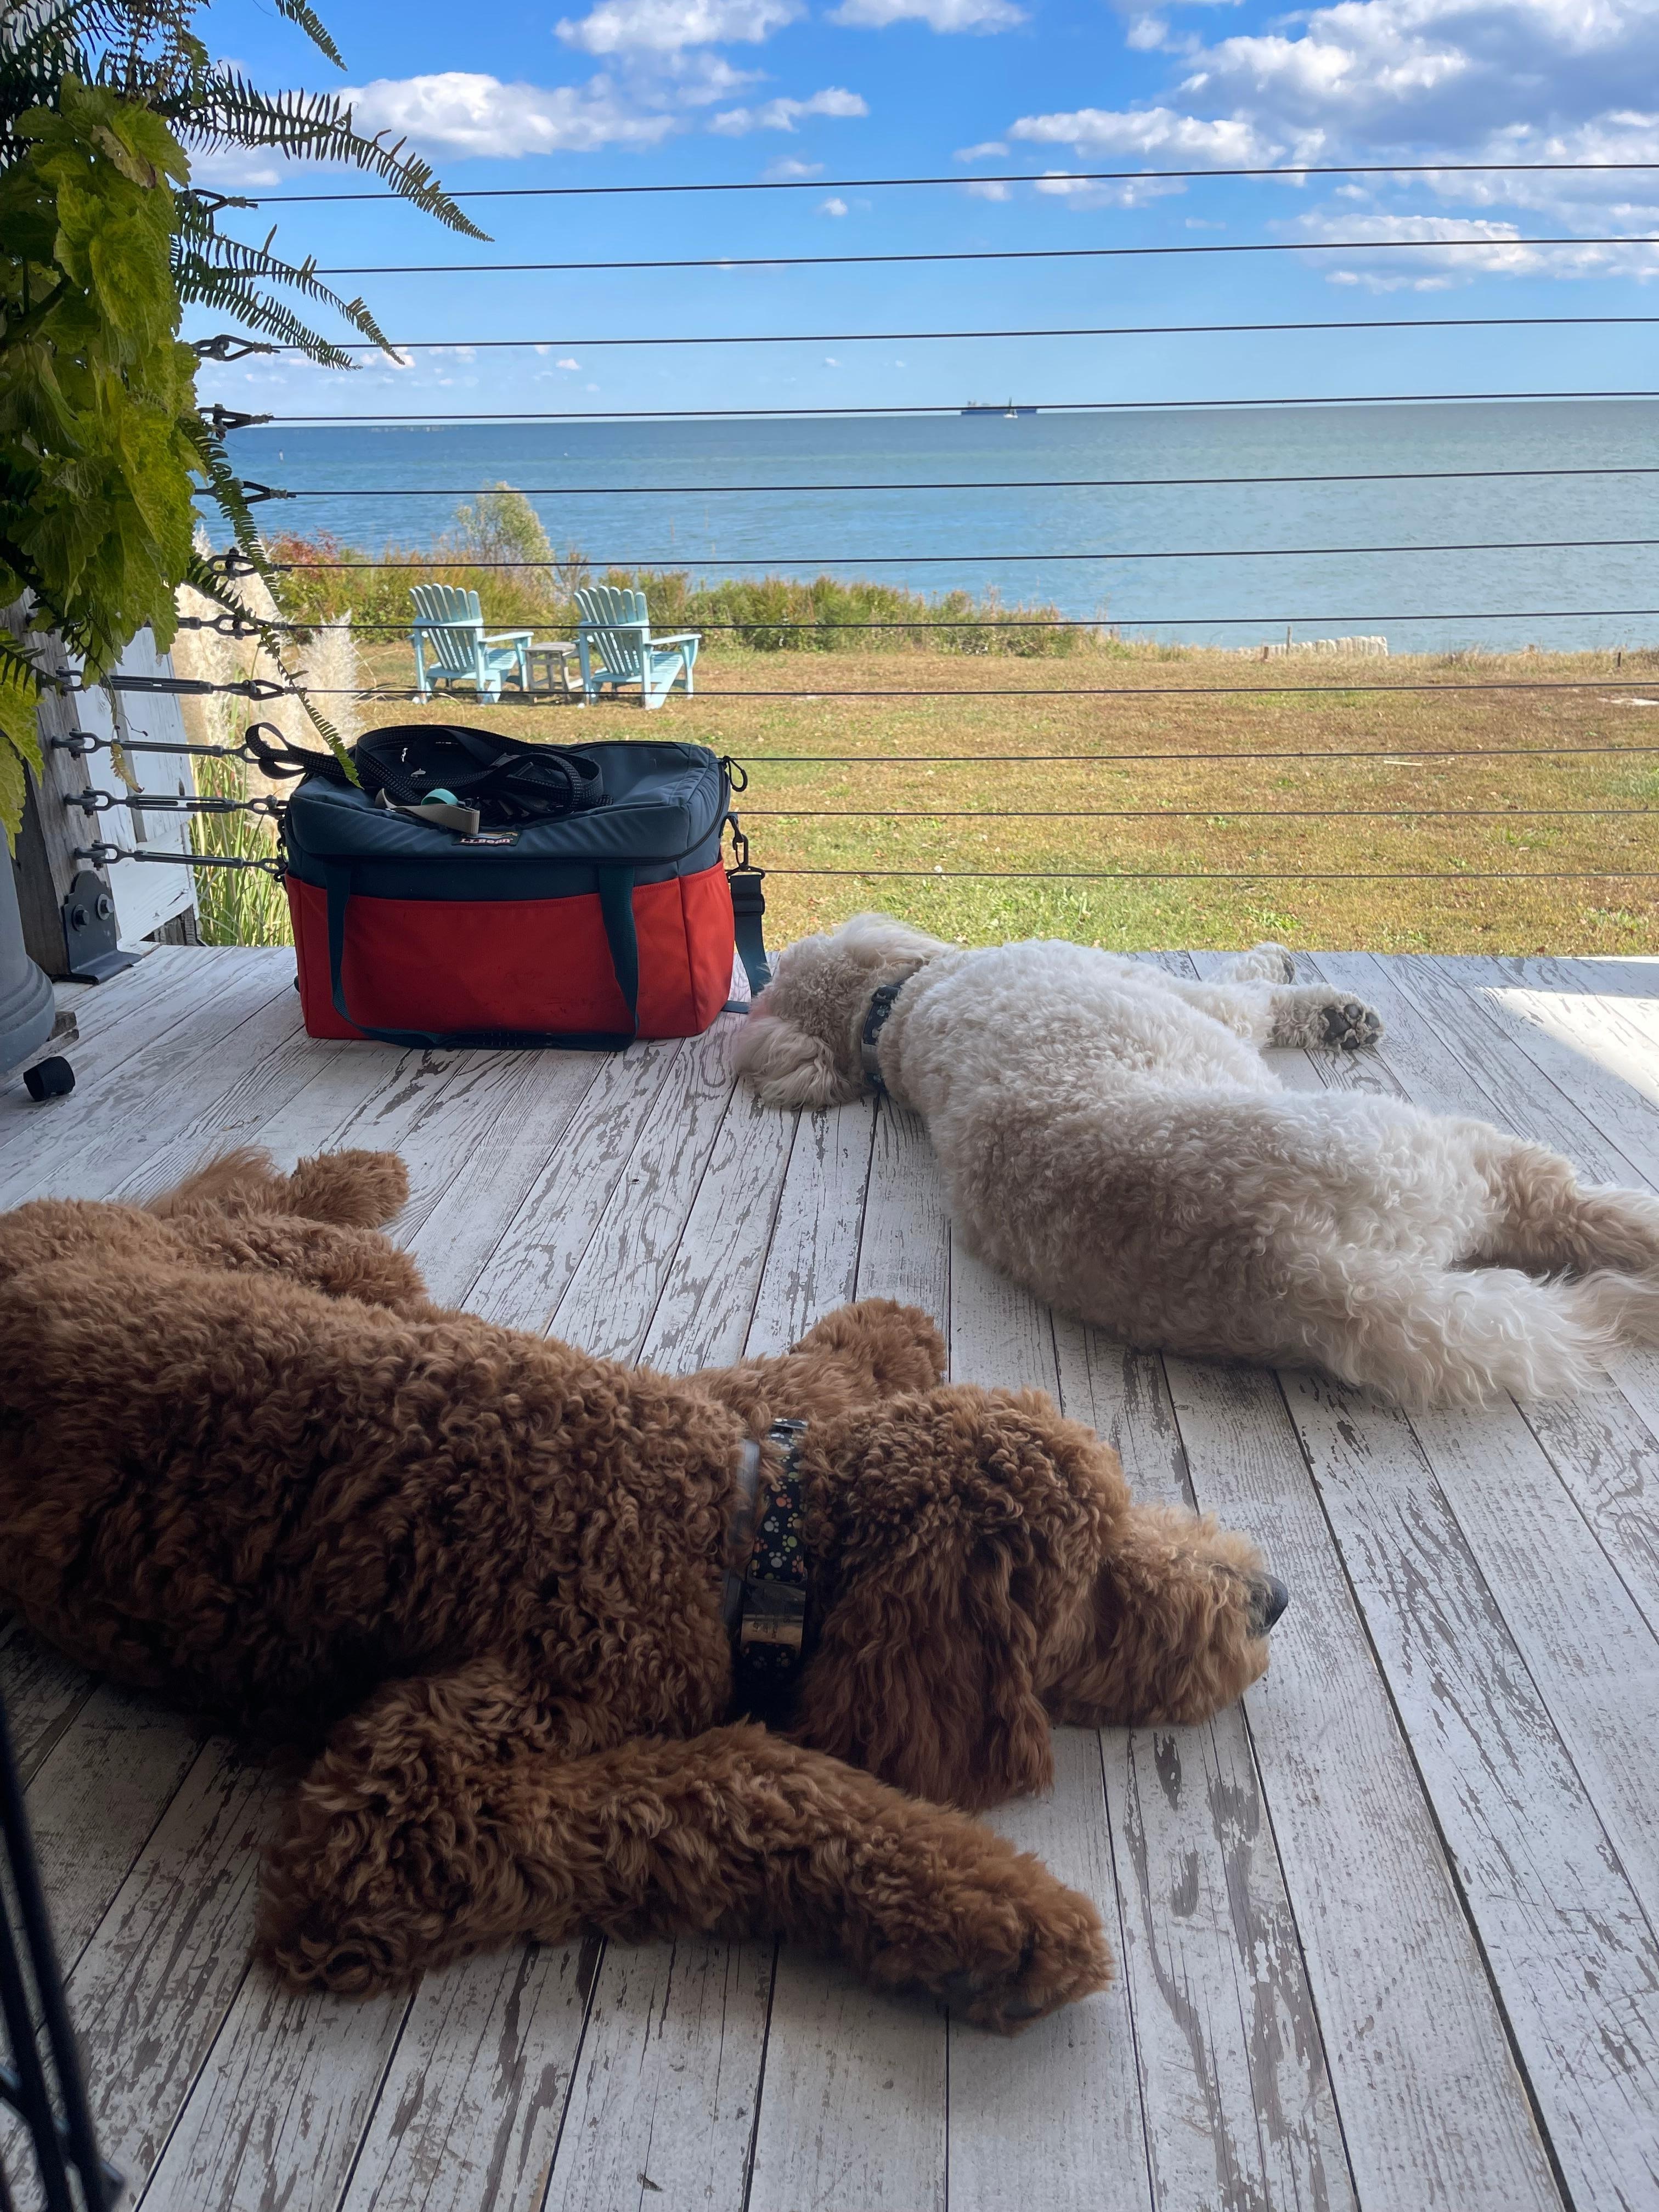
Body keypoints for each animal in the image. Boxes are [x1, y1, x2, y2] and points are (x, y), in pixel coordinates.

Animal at [0, 1149, 1286, 2032]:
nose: (1270, 1599)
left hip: (328, 1274)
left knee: (236, 1212)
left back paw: (343, 1173)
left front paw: (882, 1334)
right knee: (217, 1205)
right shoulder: (391, 1825)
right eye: (1098, 1579)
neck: (737, 1543)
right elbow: (727, 1782)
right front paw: (990, 1917)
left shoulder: (716, 1420)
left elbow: (776, 1381)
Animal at [735, 915, 1659, 1408]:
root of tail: (1287, 1259)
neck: (894, 1013)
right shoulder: (1204, 1002)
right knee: (1558, 1204)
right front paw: (1313, 995)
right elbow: (1252, 990)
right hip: (1440, 1150)